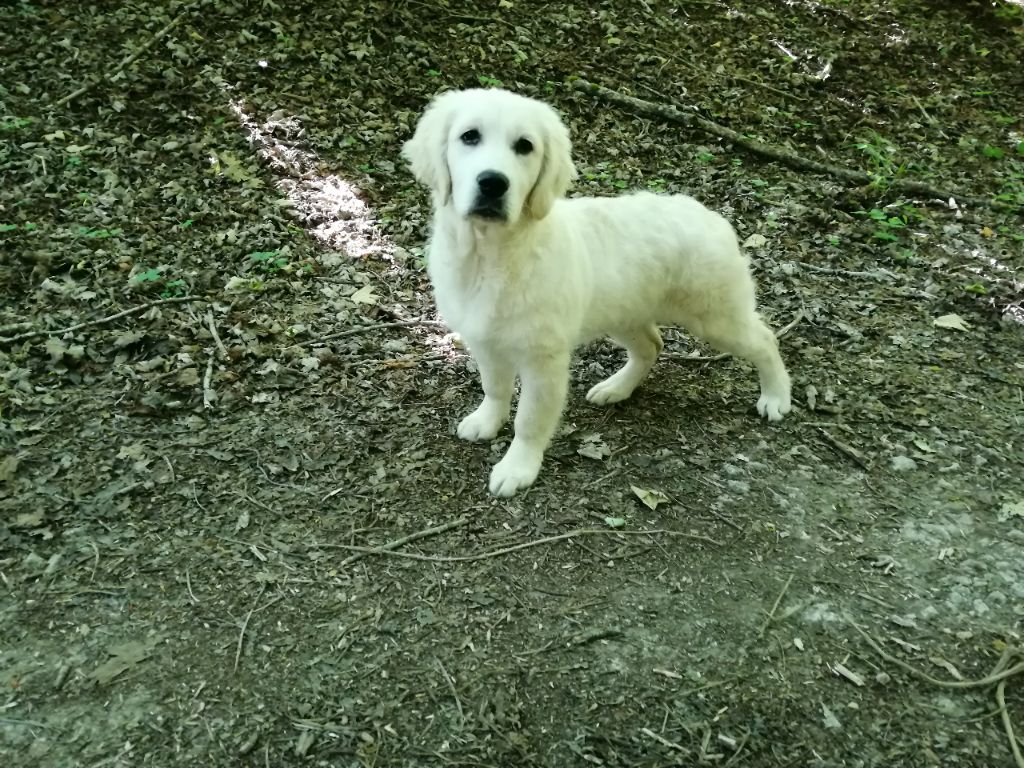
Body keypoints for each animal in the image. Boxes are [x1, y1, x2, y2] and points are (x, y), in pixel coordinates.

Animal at [399, 88, 790, 499]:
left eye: (525, 146)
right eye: (469, 136)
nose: (492, 183)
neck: (492, 254)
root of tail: (711, 216)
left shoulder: (544, 360)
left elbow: (530, 420)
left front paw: (517, 467)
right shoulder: (485, 341)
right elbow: (495, 388)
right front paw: (486, 421)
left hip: (715, 314)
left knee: (764, 341)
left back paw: (776, 397)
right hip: (623, 312)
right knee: (651, 346)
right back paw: (616, 388)